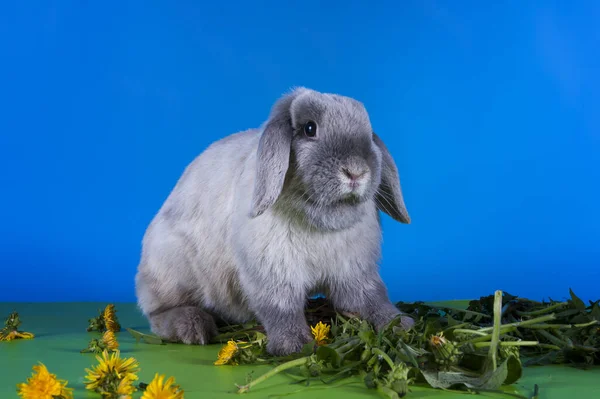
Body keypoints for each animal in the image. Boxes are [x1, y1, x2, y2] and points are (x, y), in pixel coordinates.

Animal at [134, 87, 414, 356]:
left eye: (368, 132)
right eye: (309, 128)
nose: (356, 172)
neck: (320, 221)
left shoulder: (355, 272)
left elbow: (372, 299)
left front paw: (401, 324)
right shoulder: (273, 273)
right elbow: (280, 308)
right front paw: (295, 346)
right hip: (172, 269)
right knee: (158, 312)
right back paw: (193, 327)